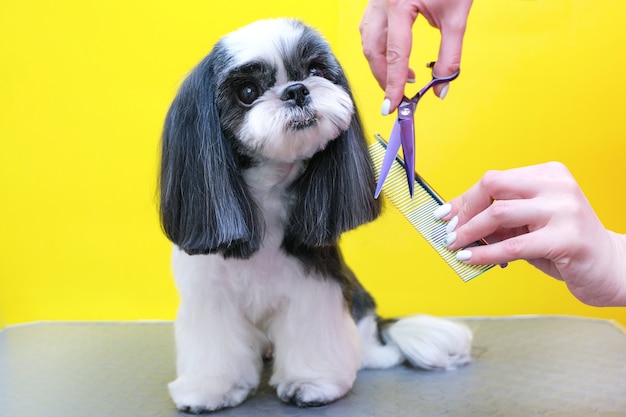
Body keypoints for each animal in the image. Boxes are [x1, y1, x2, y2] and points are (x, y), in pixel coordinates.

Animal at [158, 17, 470, 412]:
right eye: (247, 91)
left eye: (315, 70)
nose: (296, 91)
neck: (268, 195)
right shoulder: (209, 294)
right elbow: (214, 345)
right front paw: (210, 388)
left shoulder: (315, 283)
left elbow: (312, 334)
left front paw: (312, 383)